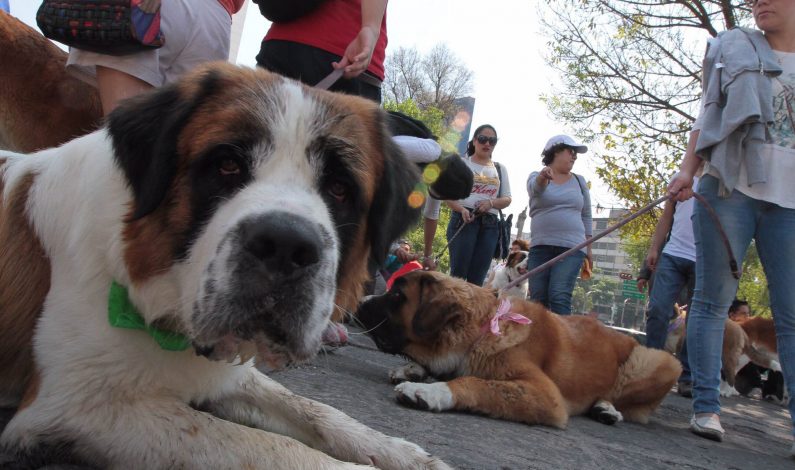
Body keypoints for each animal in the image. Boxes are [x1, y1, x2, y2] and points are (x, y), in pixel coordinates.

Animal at [0, 62, 450, 470]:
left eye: (340, 189)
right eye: (227, 164)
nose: (286, 245)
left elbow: (312, 409)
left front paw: (404, 453)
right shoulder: (75, 405)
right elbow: (267, 448)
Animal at [358, 270, 680, 428]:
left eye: (396, 295)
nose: (360, 302)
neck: (483, 327)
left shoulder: (545, 395)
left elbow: (476, 383)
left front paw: (427, 391)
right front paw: (413, 370)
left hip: (660, 362)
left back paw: (608, 408)